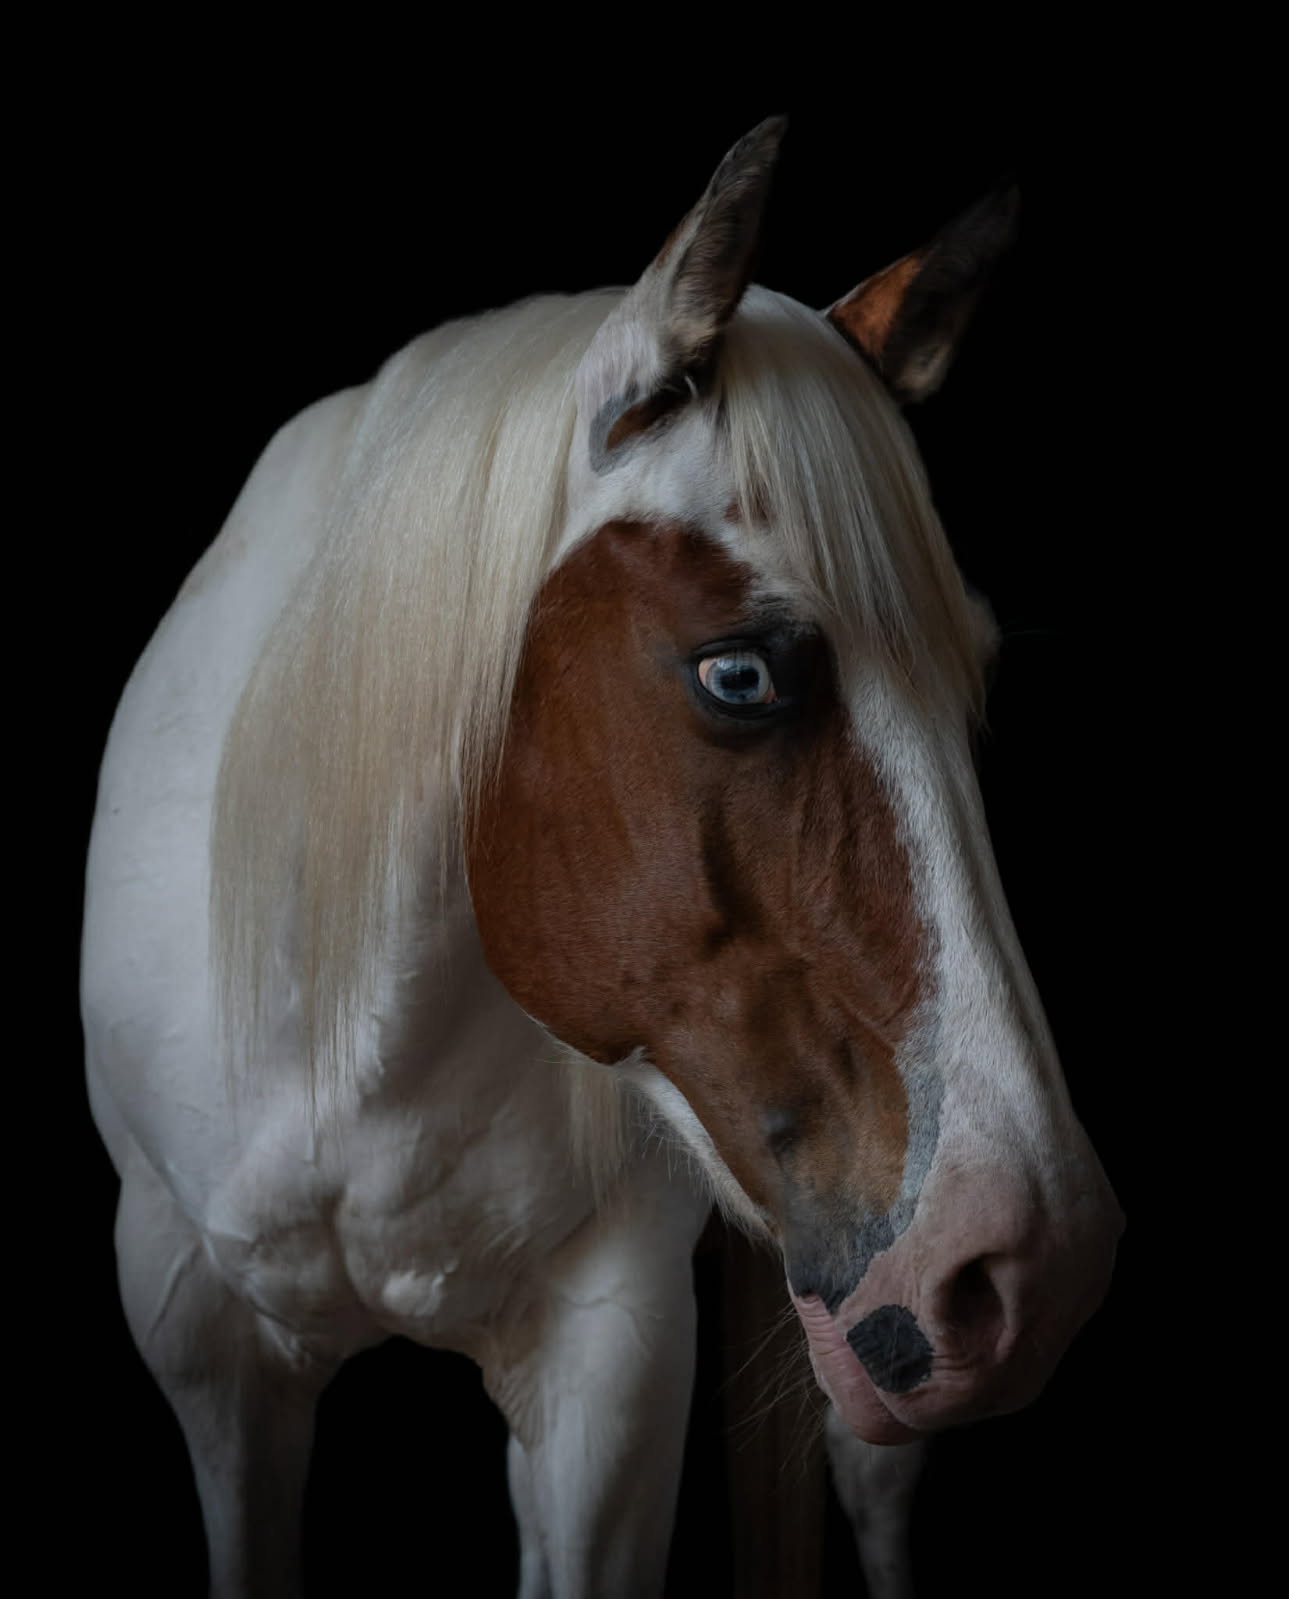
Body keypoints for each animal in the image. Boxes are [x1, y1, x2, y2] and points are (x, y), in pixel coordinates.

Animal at [81, 117, 1123, 1598]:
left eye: (973, 682)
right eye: (737, 674)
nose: (1038, 1264)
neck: (351, 1045)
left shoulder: (610, 1366)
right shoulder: (207, 1352)